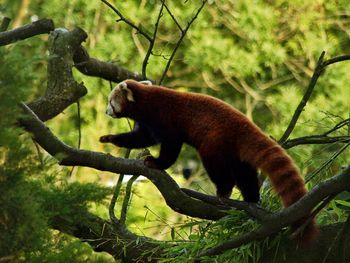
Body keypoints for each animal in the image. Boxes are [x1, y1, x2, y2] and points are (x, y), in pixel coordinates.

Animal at [100, 79, 318, 243]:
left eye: (111, 101)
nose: (106, 112)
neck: (145, 99)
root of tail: (245, 124)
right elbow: (141, 138)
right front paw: (110, 138)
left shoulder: (163, 118)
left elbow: (169, 145)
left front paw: (155, 162)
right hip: (235, 151)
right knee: (245, 173)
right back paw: (251, 198)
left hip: (214, 141)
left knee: (219, 169)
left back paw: (224, 191)